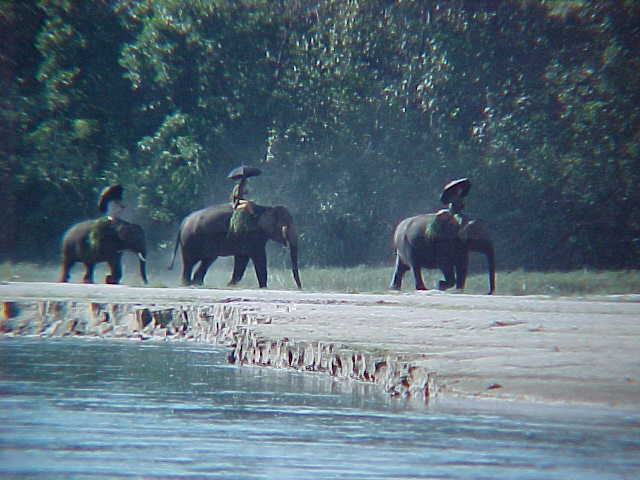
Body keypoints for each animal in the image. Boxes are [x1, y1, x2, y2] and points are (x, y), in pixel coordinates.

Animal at [169, 202, 302, 288]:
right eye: (286, 224)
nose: (300, 288)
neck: (266, 208)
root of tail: (183, 222)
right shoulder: (252, 235)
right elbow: (258, 258)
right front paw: (264, 287)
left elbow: (242, 258)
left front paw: (230, 285)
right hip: (191, 240)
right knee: (190, 261)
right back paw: (187, 284)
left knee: (207, 260)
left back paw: (196, 283)